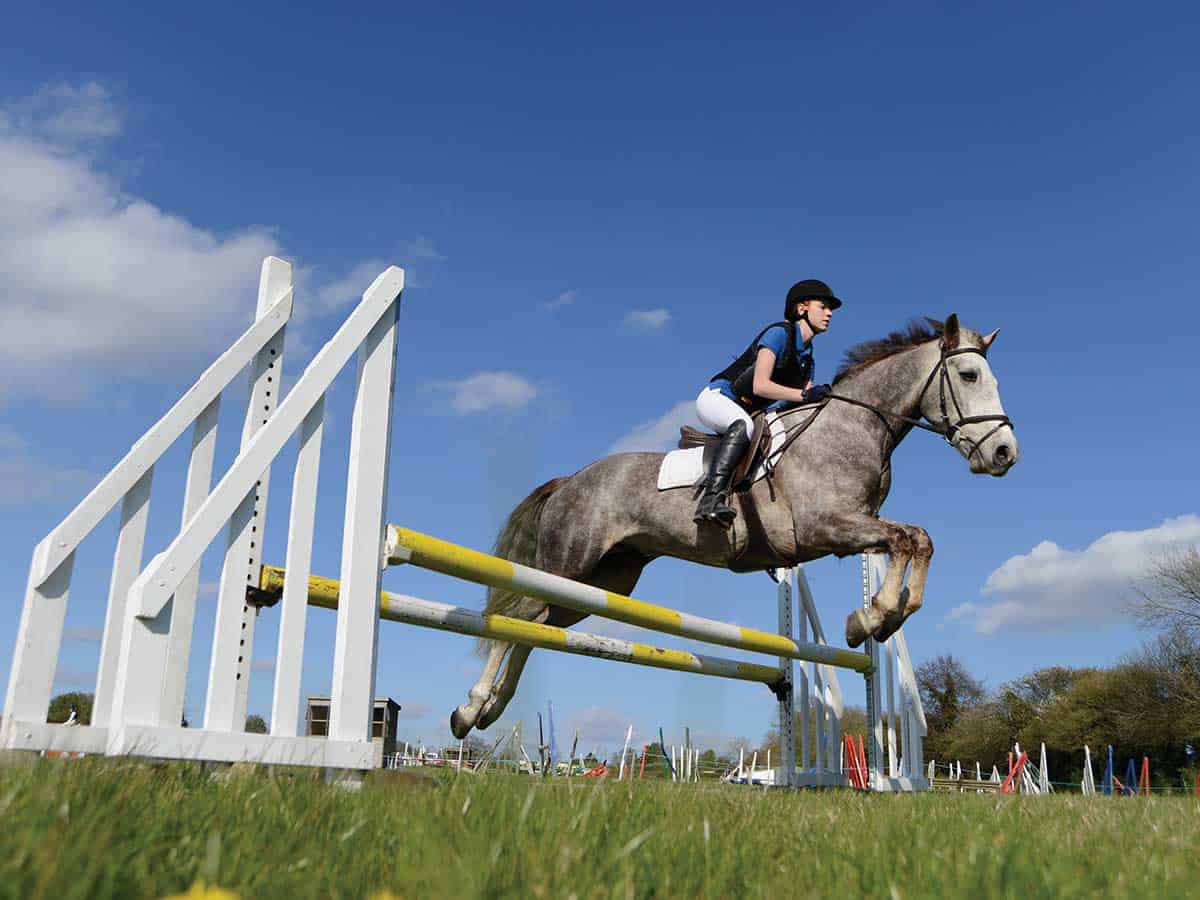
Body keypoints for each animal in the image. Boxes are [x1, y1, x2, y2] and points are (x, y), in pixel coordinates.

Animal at [453, 314, 1017, 739]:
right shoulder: (828, 527)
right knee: (519, 616)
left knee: (535, 628)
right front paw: (870, 618)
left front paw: (878, 619)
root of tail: (570, 479)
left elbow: (918, 540)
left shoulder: (859, 525)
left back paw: (489, 711)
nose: (1004, 453)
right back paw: (471, 709)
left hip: (605, 581)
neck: (854, 426)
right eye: (969, 375)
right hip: (570, 563)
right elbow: (907, 538)